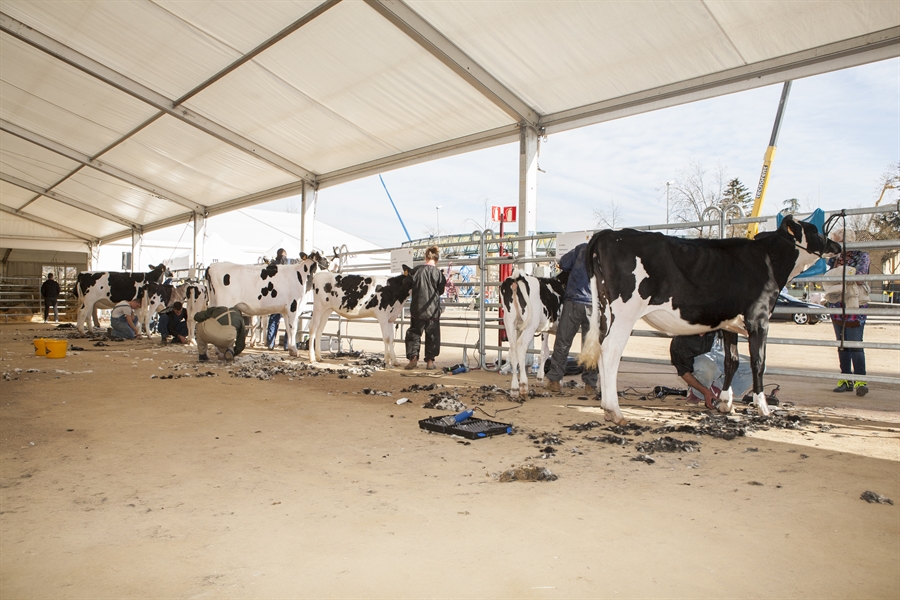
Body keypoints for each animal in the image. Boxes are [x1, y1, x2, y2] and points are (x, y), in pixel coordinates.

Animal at [580, 218, 840, 424]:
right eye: (816, 231)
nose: (837, 245)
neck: (768, 260)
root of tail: (608, 234)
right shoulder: (759, 319)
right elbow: (758, 362)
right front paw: (762, 406)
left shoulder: (729, 324)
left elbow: (731, 361)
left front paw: (726, 403)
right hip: (626, 312)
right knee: (611, 351)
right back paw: (615, 410)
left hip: (605, 311)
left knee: (601, 348)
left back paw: (607, 408)